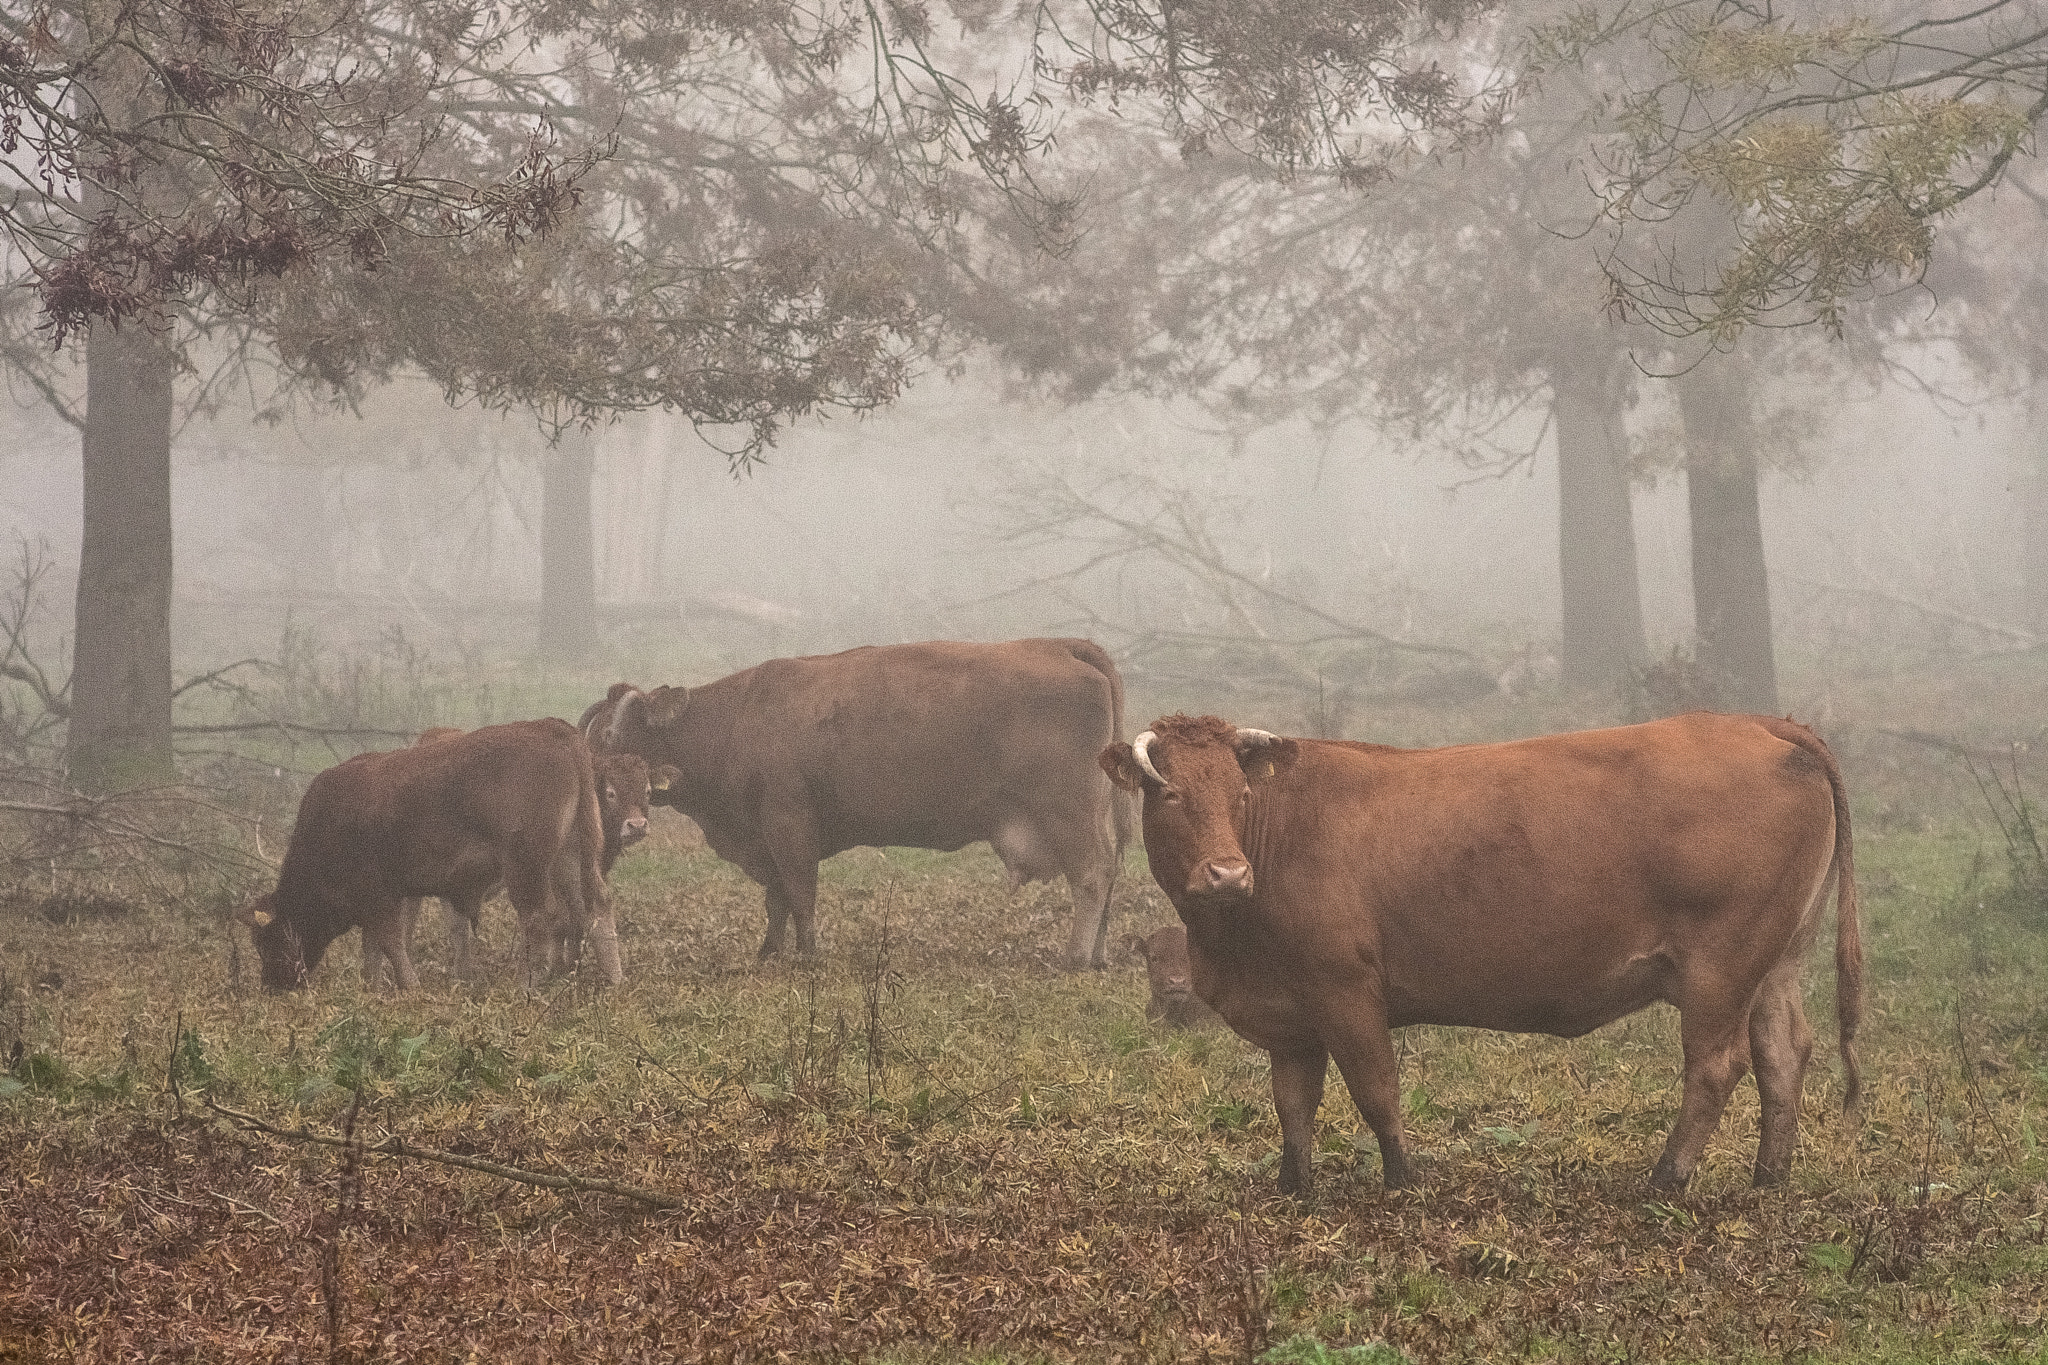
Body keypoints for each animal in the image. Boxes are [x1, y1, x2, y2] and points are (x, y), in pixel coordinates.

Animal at [238, 716, 602, 994]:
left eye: (265, 941)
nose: (272, 985)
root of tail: (551, 729)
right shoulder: (377, 902)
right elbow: (372, 948)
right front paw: (372, 988)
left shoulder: (380, 897)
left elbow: (390, 942)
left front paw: (409, 986)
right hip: (572, 858)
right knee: (591, 909)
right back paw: (602, 978)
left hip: (526, 868)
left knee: (542, 919)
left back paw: (530, 985)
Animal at [577, 638, 1138, 965]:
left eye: (610, 734)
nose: (585, 775)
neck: (736, 721)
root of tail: (1060, 646)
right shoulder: (766, 838)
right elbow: (776, 900)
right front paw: (769, 952)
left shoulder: (789, 827)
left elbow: (799, 894)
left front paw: (808, 957)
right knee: (1110, 875)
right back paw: (1098, 955)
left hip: (1068, 813)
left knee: (1093, 876)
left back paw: (1074, 956)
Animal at [1097, 716, 1867, 1195]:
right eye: (1170, 792)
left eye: (1239, 792)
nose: (1228, 873)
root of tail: (1760, 722)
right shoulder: (1290, 1015)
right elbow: (1294, 1104)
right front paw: (1293, 1185)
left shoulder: (1347, 990)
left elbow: (1376, 1090)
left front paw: (1403, 1180)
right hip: (1774, 963)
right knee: (1782, 1054)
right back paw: (1768, 1177)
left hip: (1720, 968)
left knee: (1717, 1065)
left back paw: (1666, 1179)